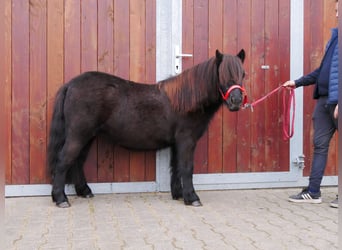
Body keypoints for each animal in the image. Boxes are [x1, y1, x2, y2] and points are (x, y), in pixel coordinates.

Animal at [48, 48, 246, 207]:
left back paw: (84, 191)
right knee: (64, 161)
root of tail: (71, 84)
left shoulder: (177, 143)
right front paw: (192, 198)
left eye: (243, 74)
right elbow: (186, 167)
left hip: (87, 137)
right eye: (222, 74)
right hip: (78, 136)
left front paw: (178, 194)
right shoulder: (186, 141)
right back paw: (61, 199)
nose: (236, 101)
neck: (185, 101)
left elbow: (176, 167)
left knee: (77, 162)